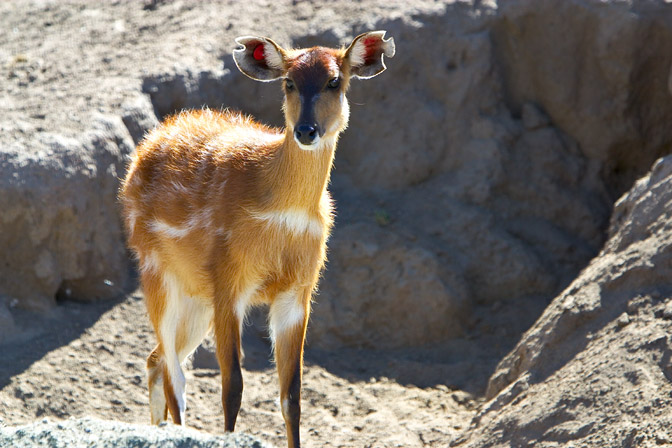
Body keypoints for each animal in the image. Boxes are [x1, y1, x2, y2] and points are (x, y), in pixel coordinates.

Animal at [119, 29, 394, 446]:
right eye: (289, 82)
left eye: (335, 81)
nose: (306, 131)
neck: (281, 211)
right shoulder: (229, 285)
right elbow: (232, 387)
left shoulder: (297, 293)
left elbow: (292, 396)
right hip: (157, 274)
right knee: (173, 373)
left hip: (196, 298)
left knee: (157, 360)